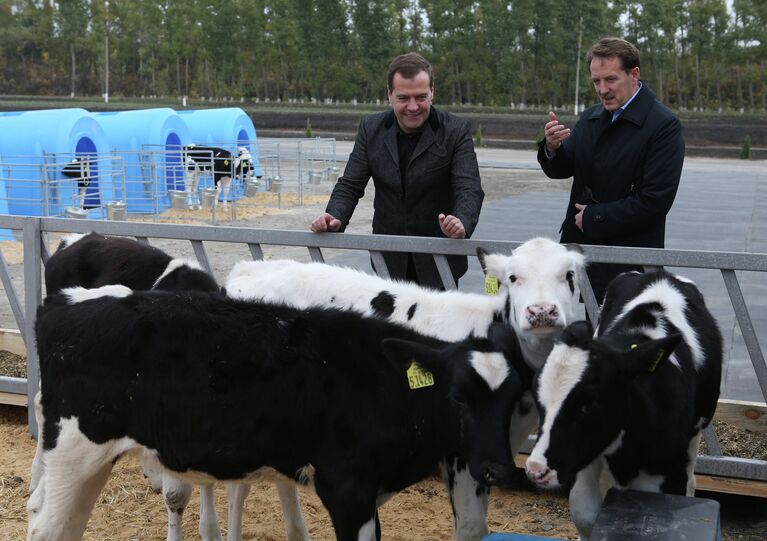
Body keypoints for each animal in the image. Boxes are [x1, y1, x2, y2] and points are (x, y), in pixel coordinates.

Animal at [28, 286, 520, 540]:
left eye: (515, 402)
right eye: (458, 398)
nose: (497, 469)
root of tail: (66, 301)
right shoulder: (346, 490)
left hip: (92, 461)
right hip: (73, 450)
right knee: (46, 528)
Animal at [524, 272, 724, 536]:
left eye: (589, 405)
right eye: (539, 402)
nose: (537, 470)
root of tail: (661, 275)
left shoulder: (670, 470)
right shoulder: (588, 455)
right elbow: (584, 512)